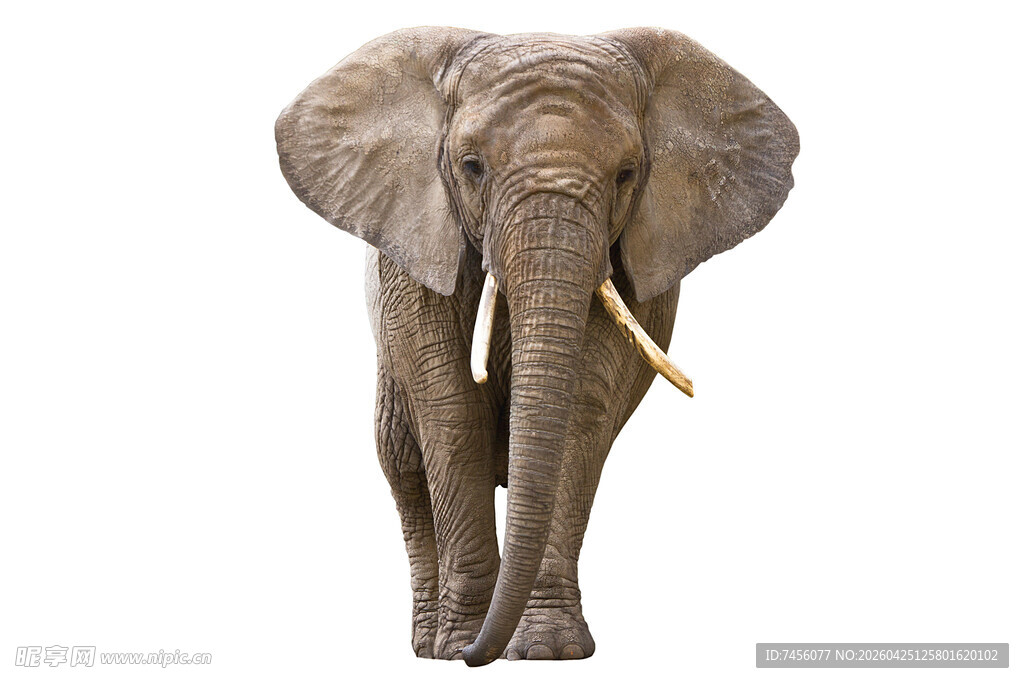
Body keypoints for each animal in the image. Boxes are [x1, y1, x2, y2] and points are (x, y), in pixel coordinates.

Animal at [275, 26, 798, 665]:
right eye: (471, 166)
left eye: (627, 174)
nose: (479, 653)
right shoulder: (414, 254)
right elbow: (451, 411)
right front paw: (460, 646)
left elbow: (579, 411)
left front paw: (549, 650)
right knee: (401, 461)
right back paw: (427, 644)